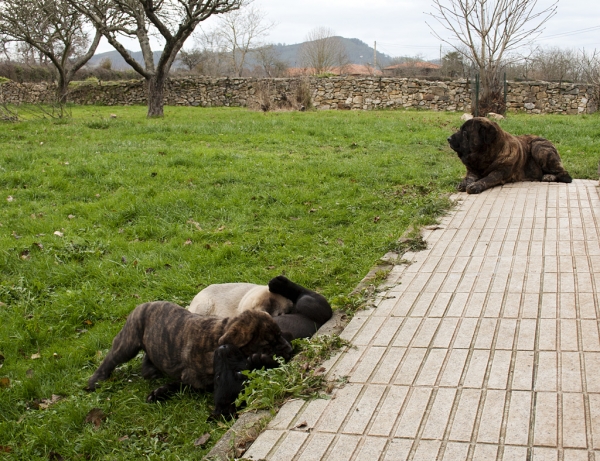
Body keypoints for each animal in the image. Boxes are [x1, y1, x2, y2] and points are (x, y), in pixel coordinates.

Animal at [87, 298, 292, 416]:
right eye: (268, 345)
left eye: (281, 334)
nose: (290, 350)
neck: (219, 336)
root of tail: (144, 304)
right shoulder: (195, 377)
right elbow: (182, 384)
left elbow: (178, 384)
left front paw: (159, 391)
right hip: (129, 339)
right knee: (111, 358)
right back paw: (94, 380)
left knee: (149, 356)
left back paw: (150, 371)